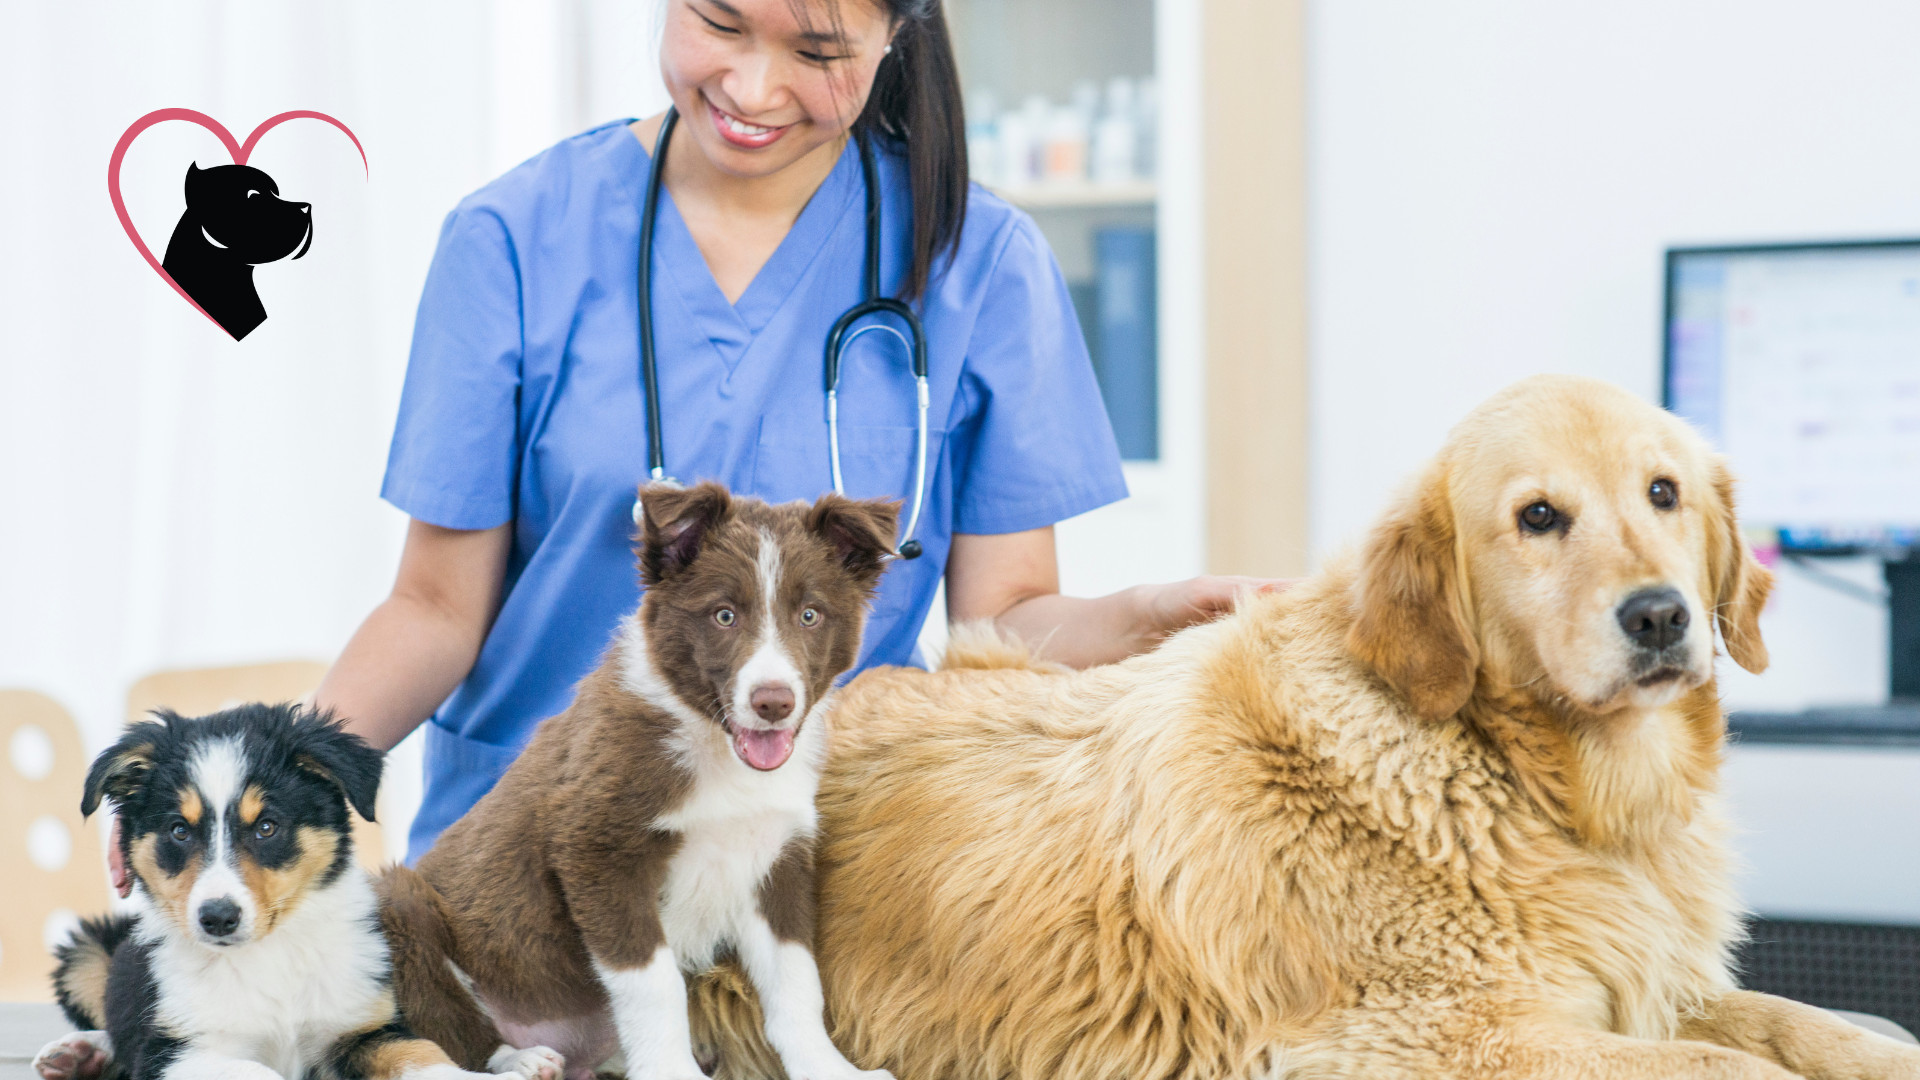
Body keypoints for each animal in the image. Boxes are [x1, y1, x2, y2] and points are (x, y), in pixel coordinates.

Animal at [33, 703, 560, 1080]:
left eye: (267, 826)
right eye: (179, 831)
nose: (217, 918)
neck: (270, 951)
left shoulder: (361, 1028)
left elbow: (422, 1053)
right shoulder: (176, 1053)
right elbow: (254, 1071)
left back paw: (520, 1059)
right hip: (87, 957)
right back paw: (78, 1053)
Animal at [389, 480, 906, 1076]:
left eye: (810, 616)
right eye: (724, 616)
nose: (773, 702)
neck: (714, 746)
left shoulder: (779, 856)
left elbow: (797, 980)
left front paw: (827, 1067)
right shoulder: (597, 850)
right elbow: (654, 985)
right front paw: (672, 1071)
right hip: (399, 909)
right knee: (445, 1028)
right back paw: (519, 1059)